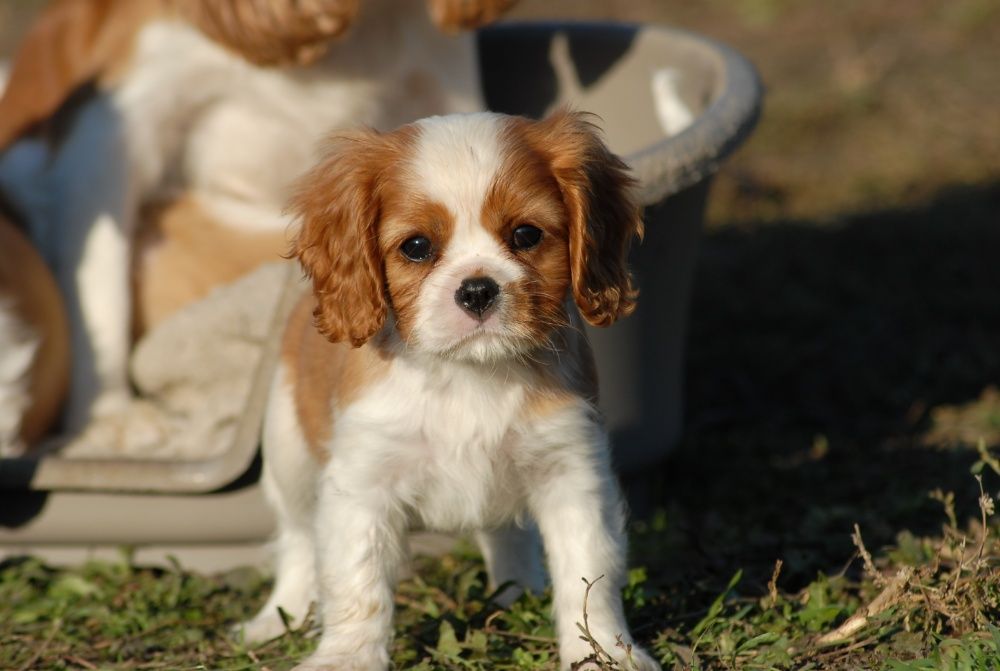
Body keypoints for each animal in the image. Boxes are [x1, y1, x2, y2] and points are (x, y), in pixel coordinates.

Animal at [240, 111, 664, 671]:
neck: (469, 373)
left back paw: (519, 589)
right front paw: (348, 656)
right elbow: (356, 580)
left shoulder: (571, 469)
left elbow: (589, 570)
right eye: (417, 247)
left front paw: (605, 652)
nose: (477, 290)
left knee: (509, 532)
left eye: (526, 234)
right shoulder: (363, 484)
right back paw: (277, 615)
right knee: (297, 539)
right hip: (289, 450)